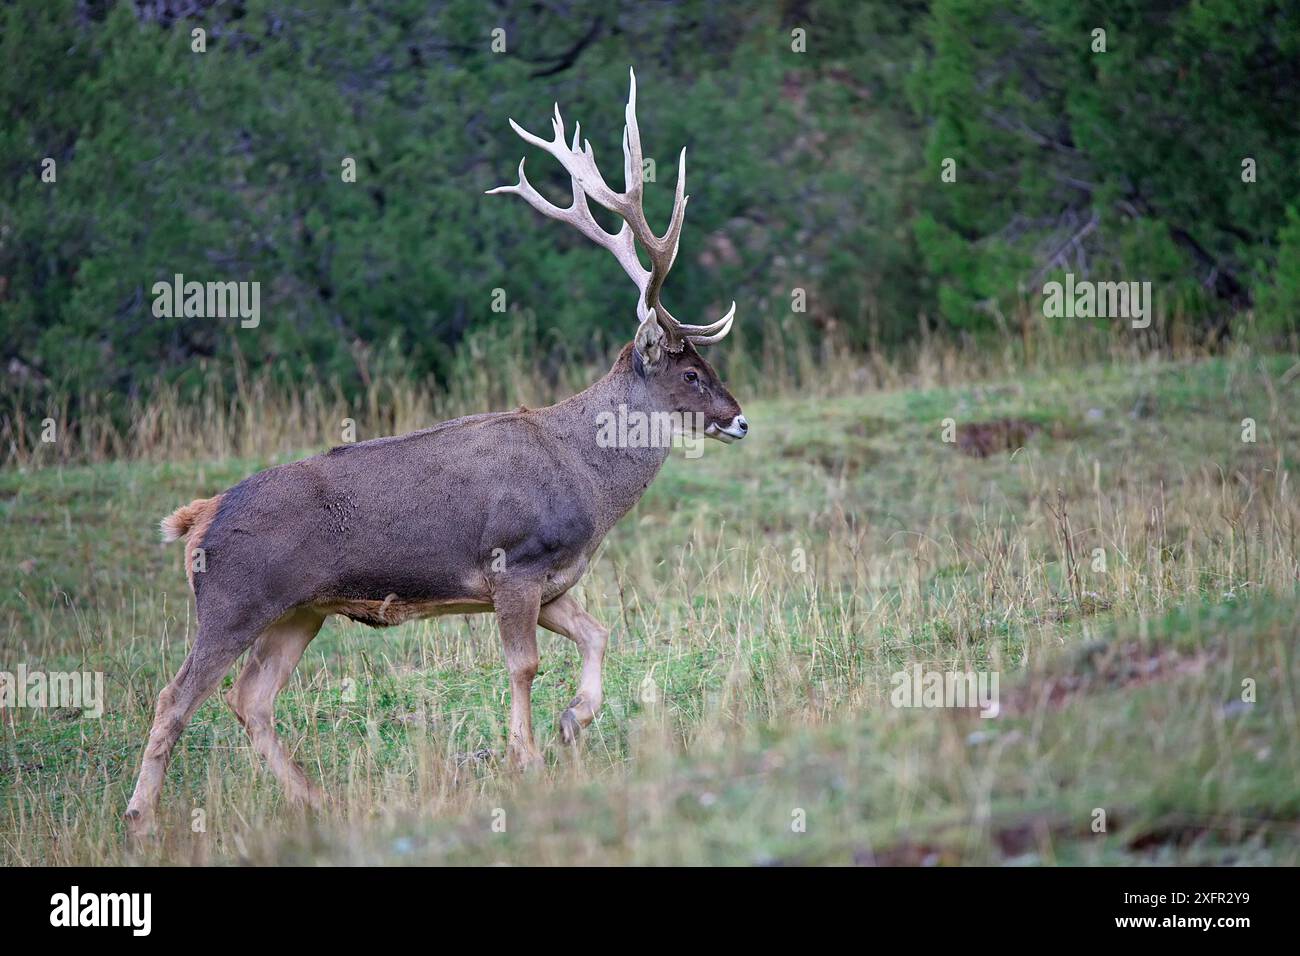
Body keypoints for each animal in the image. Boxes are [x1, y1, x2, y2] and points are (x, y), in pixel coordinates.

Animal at [126, 70, 754, 837]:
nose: (739, 419)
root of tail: (198, 518)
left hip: (299, 611)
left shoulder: (554, 582)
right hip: (233, 600)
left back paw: (315, 801)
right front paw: (527, 757)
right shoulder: (515, 562)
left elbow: (598, 634)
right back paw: (140, 819)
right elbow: (523, 665)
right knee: (175, 697)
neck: (587, 478)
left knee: (251, 699)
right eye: (690, 373)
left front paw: (573, 722)